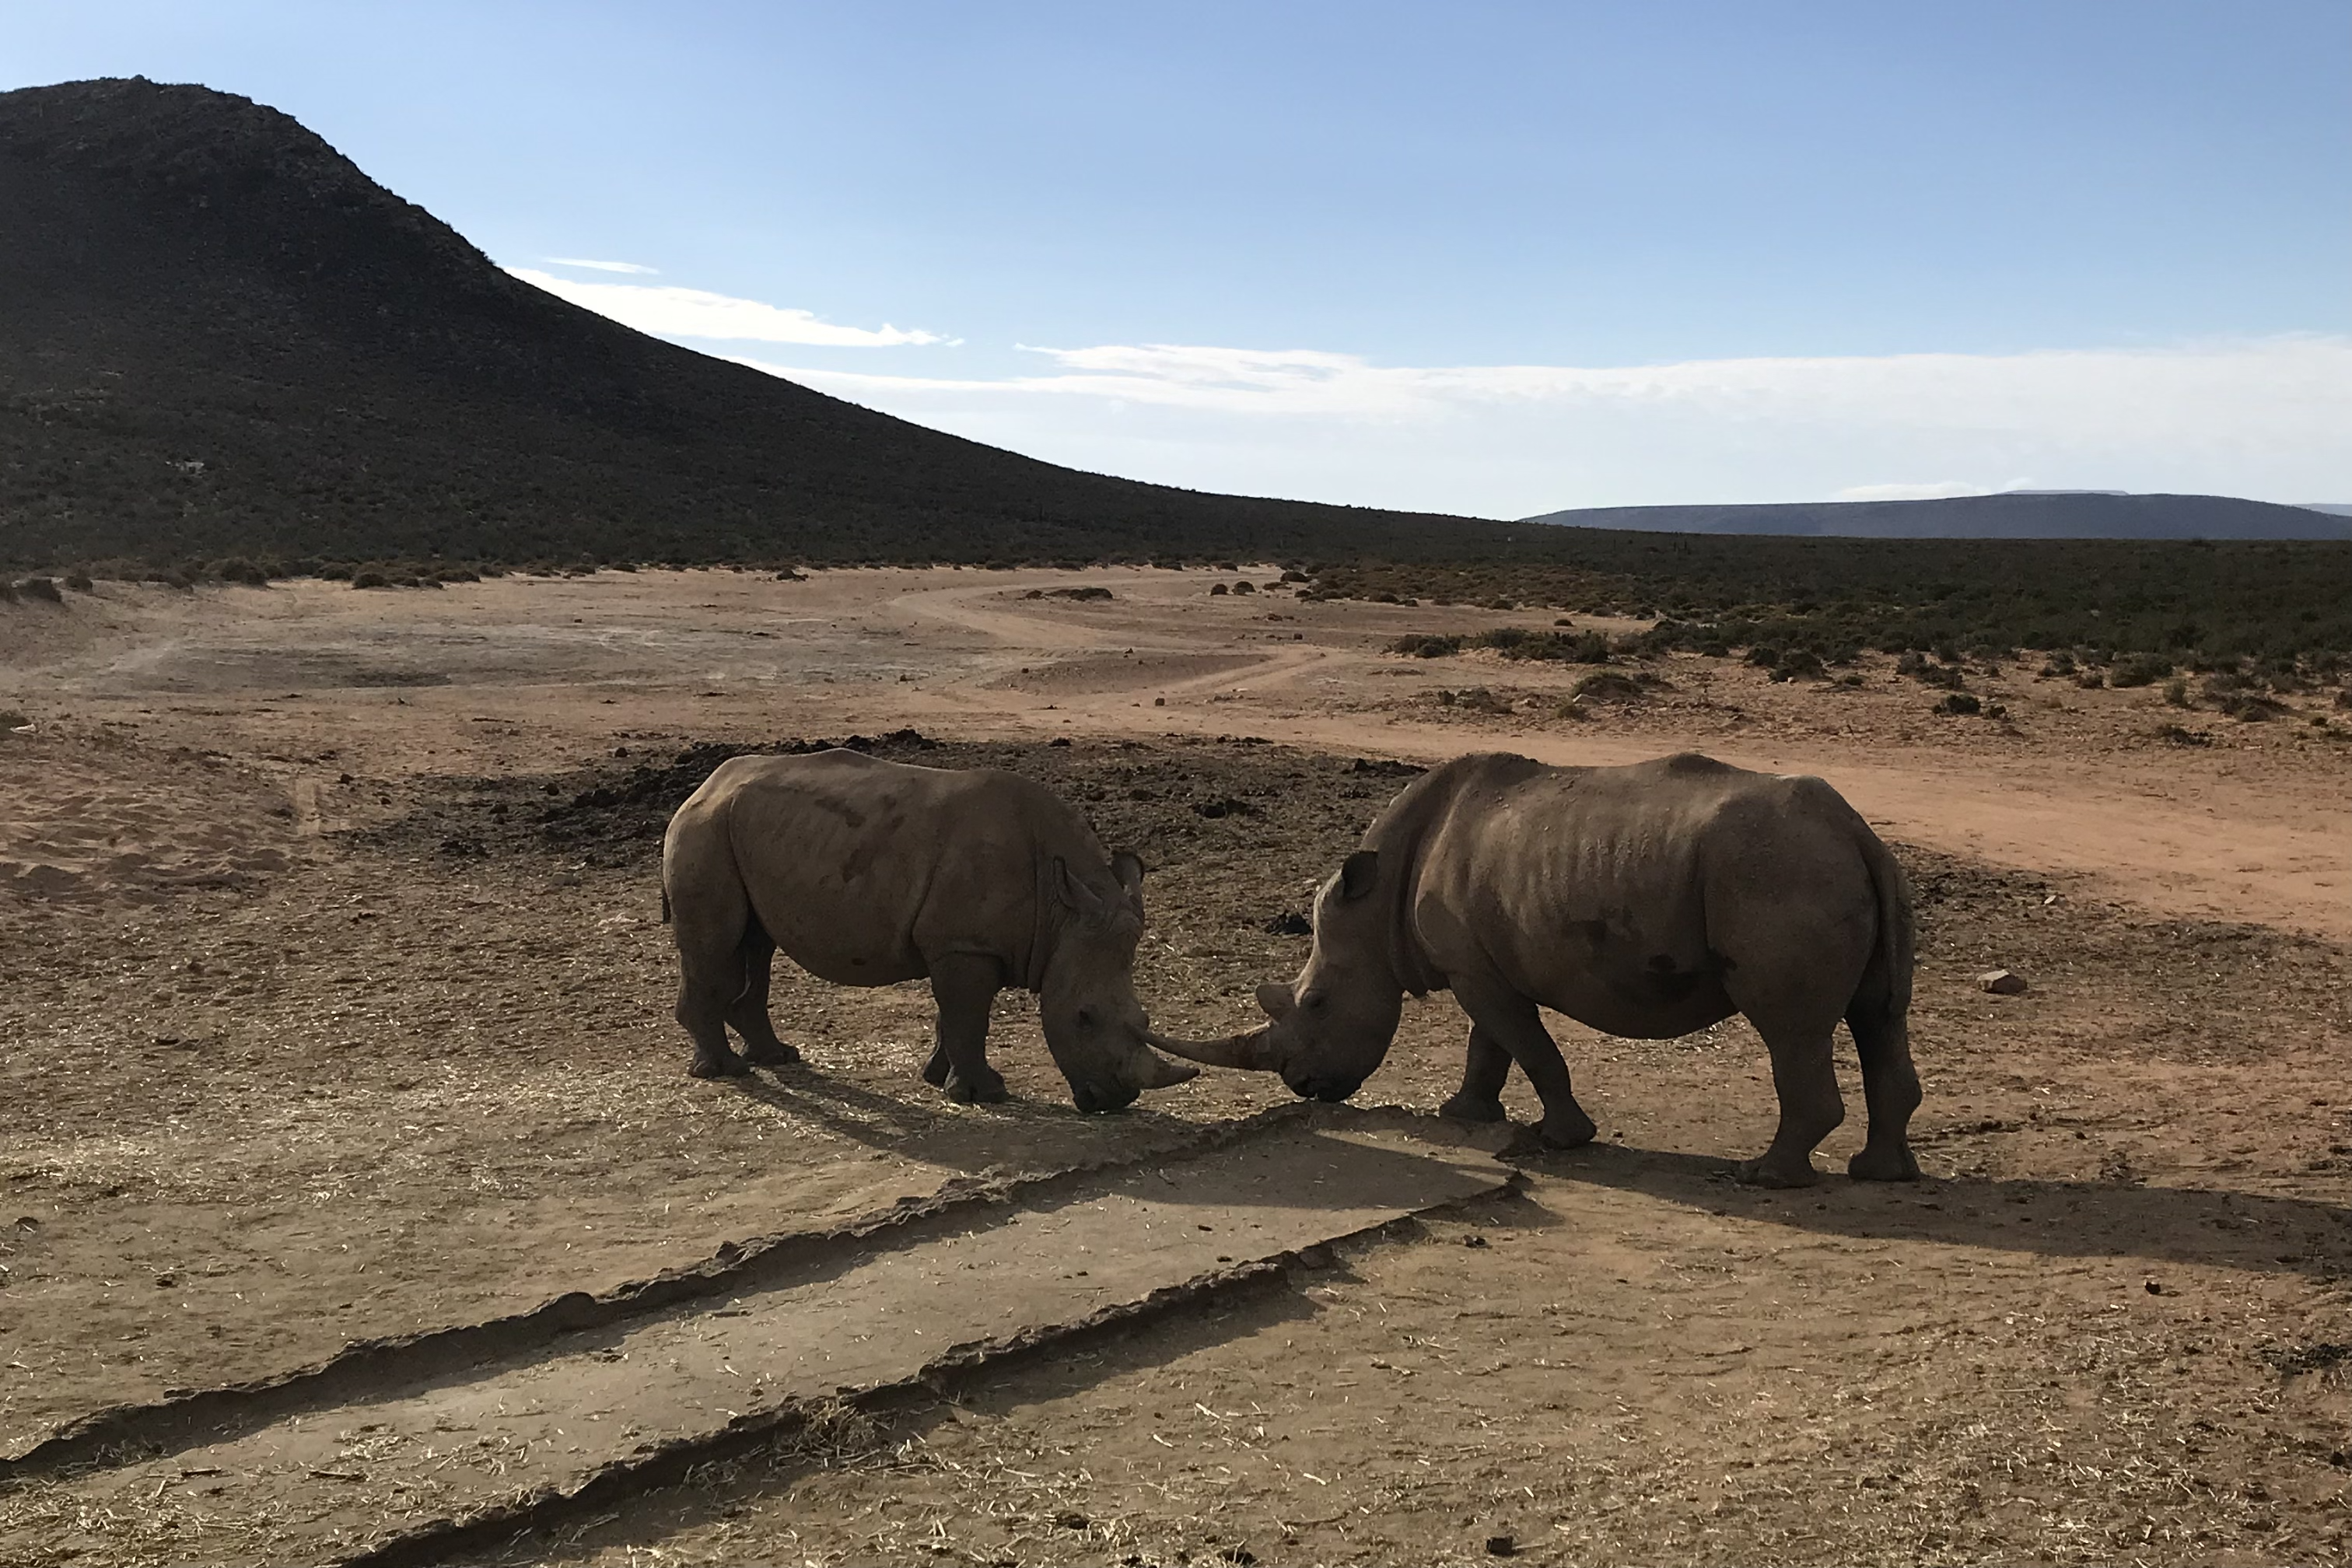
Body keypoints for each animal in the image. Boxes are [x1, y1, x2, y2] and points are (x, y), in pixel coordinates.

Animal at [661, 749, 1198, 1112]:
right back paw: (724, 1071)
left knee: (756, 943)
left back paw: (778, 1058)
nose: (1115, 1101)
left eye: (1146, 1019)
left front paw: (937, 1078)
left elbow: (954, 1016)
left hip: (742, 831)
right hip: (704, 830)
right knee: (718, 941)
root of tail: (701, 788)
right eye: (1084, 1018)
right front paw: (986, 1095)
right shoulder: (965, 946)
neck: (1061, 913)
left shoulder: (958, 944)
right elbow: (969, 1017)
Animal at [1154, 752, 1922, 1187]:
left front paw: (1563, 1139)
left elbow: (1527, 1046)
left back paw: (1767, 1178)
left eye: (1314, 1004)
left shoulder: (1475, 971)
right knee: (1878, 1016)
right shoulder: (1479, 963)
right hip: (1832, 869)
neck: (1378, 905)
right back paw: (1880, 1175)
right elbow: (1489, 1046)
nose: (1306, 1087)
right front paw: (1462, 1114)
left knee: (1790, 1030)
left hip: (1777, 873)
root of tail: (1853, 830)